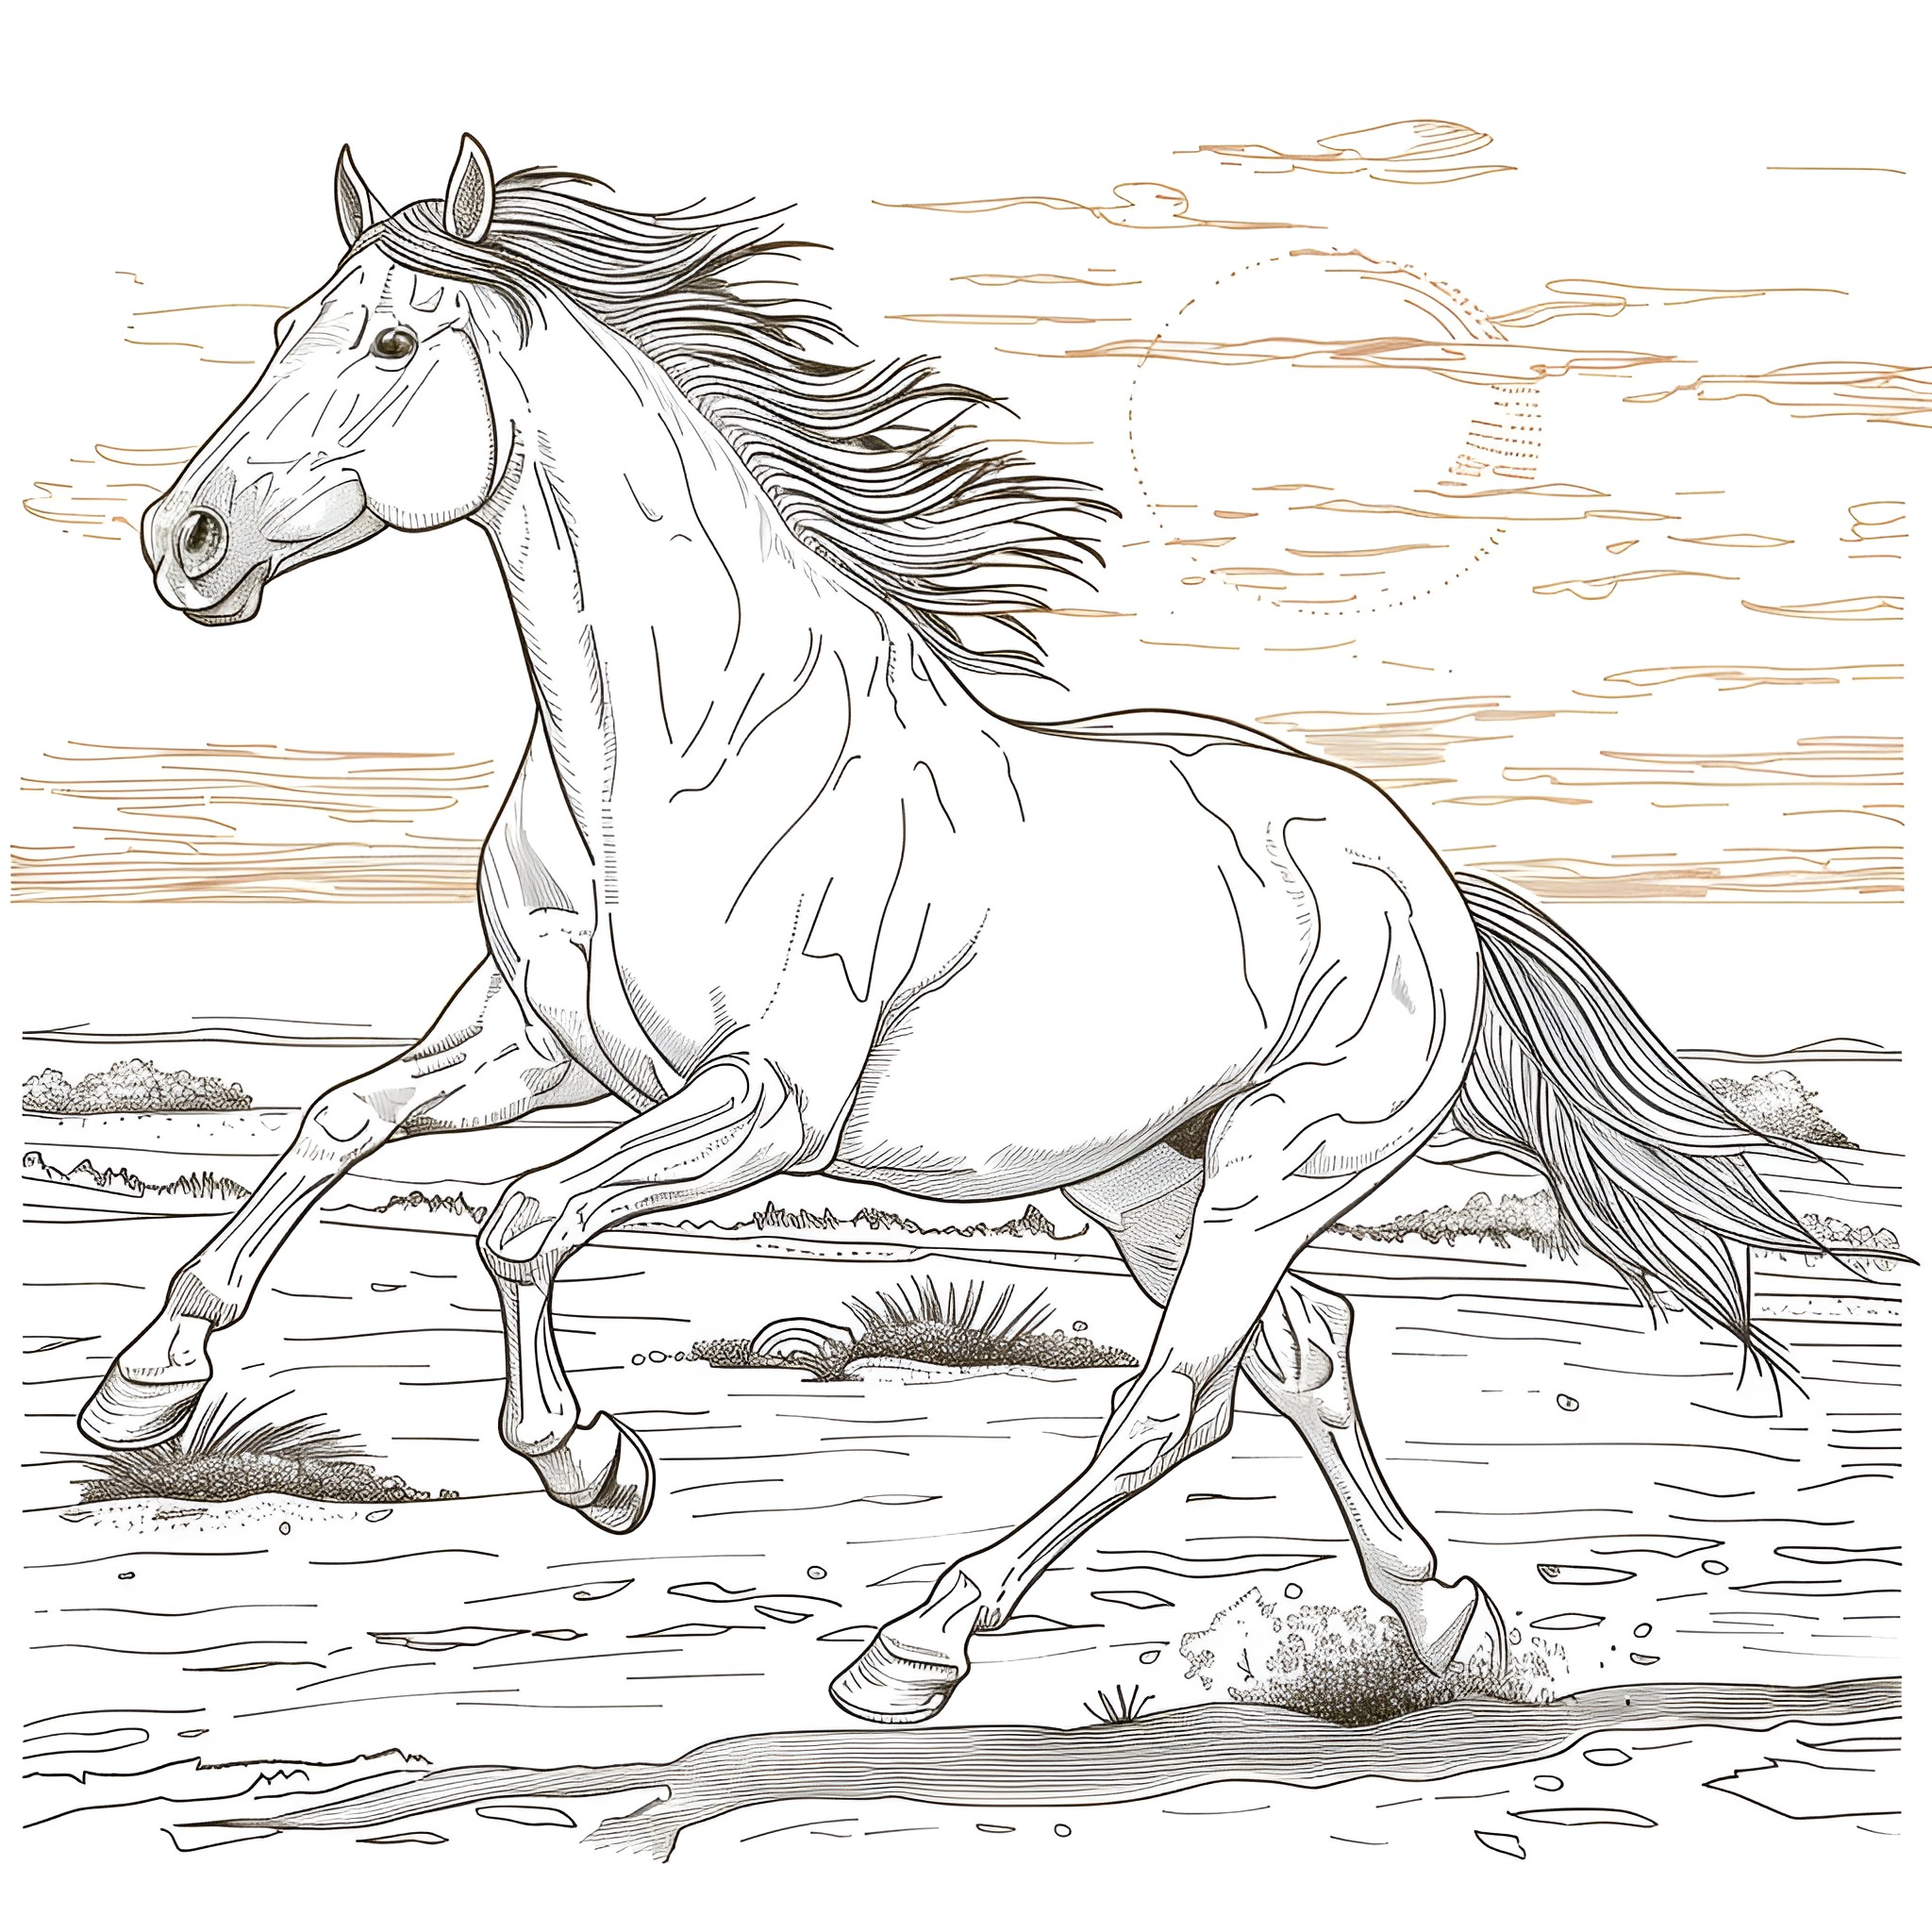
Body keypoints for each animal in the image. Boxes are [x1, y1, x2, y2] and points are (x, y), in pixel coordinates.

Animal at [82, 135, 1855, 1726]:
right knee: (1298, 1353)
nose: (184, 543)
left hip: (1282, 1160)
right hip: (1147, 1175)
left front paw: (597, 1467)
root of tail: (1416, 871)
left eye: (390, 344)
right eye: (282, 328)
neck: (684, 750)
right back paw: (1441, 1616)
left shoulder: (766, 1103)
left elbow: (520, 1219)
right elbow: (338, 1115)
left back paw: (912, 1650)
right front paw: (138, 1384)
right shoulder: (537, 1040)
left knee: (1171, 1398)